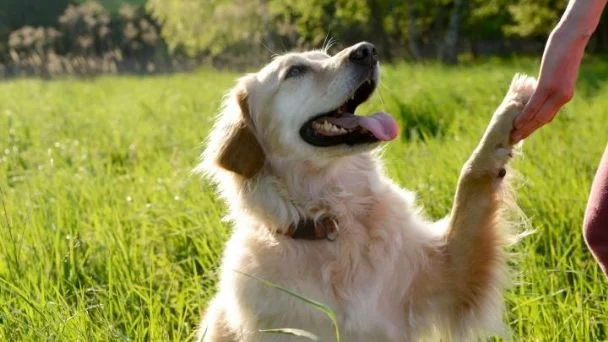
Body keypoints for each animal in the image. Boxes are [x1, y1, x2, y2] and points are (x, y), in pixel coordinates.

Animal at [197, 41, 536, 340]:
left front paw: (512, 105)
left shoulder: (450, 274)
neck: (334, 222)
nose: (367, 50)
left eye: (326, 55)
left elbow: (470, 181)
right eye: (295, 71)